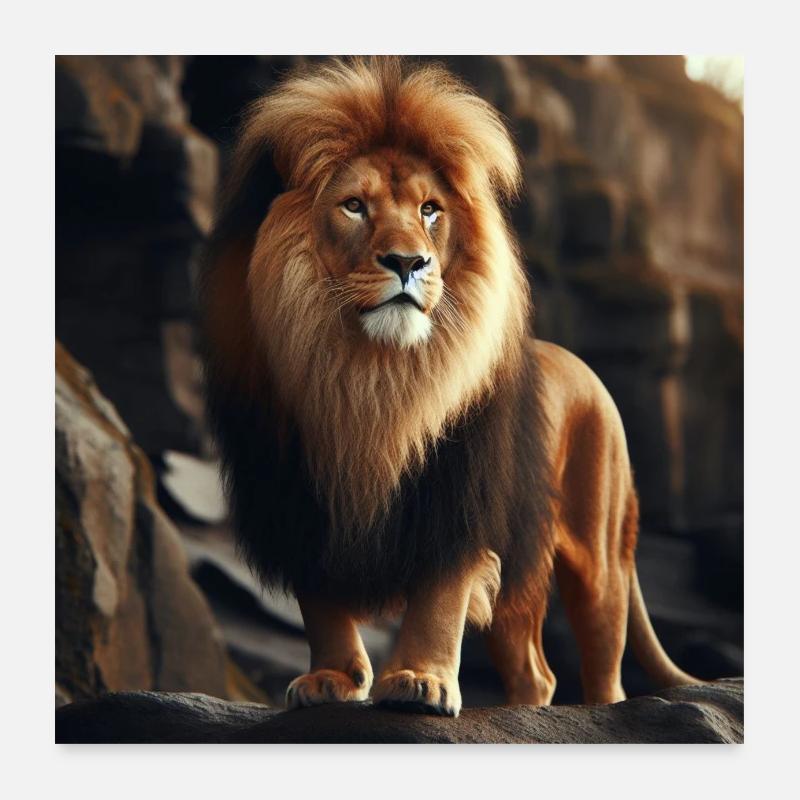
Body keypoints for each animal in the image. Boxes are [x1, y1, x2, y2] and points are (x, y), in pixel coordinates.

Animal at [200, 57, 698, 717]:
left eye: (430, 210)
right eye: (353, 205)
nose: (409, 262)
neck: (368, 376)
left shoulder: (457, 494)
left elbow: (438, 599)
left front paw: (420, 681)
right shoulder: (295, 493)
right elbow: (321, 603)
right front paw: (332, 679)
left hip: (600, 556)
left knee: (603, 663)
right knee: (536, 670)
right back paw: (517, 712)